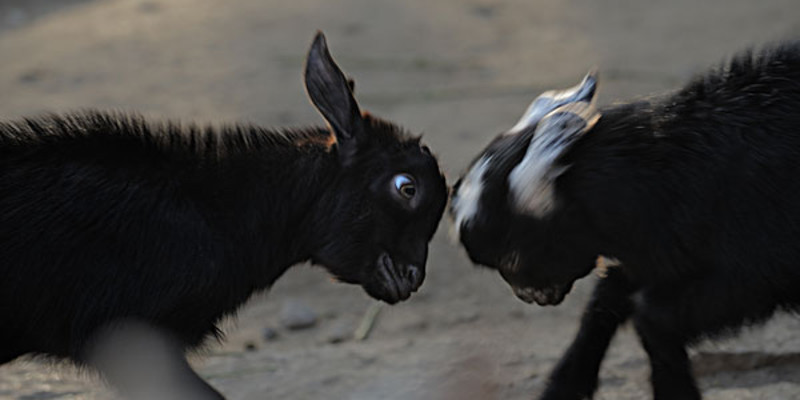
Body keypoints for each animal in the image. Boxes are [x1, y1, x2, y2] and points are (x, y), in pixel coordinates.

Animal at [454, 42, 800, 398]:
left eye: (512, 256)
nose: (529, 296)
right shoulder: (661, 249)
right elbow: (608, 298)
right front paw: (564, 387)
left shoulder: (760, 266)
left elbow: (652, 317)